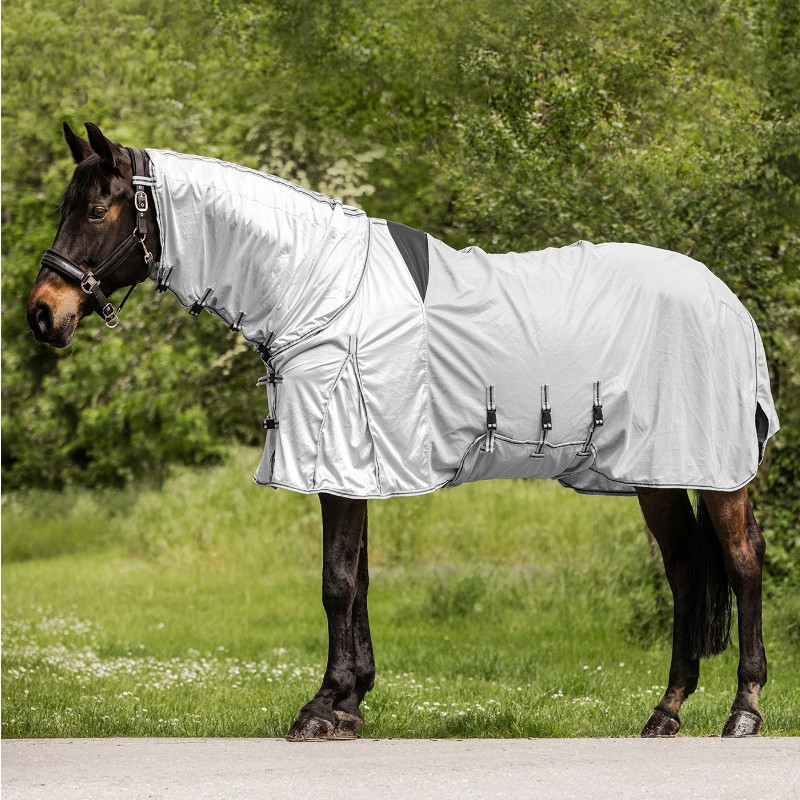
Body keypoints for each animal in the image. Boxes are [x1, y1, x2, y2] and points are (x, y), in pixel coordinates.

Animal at [27, 122, 777, 740]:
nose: (43, 313)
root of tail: (728, 301)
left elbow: (336, 582)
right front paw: (350, 704)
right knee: (685, 570)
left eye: (96, 209)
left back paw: (743, 711)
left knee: (742, 561)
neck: (321, 290)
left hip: (714, 471)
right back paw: (666, 712)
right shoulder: (354, 467)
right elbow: (358, 581)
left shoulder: (339, 459)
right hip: (658, 473)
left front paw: (321, 709)